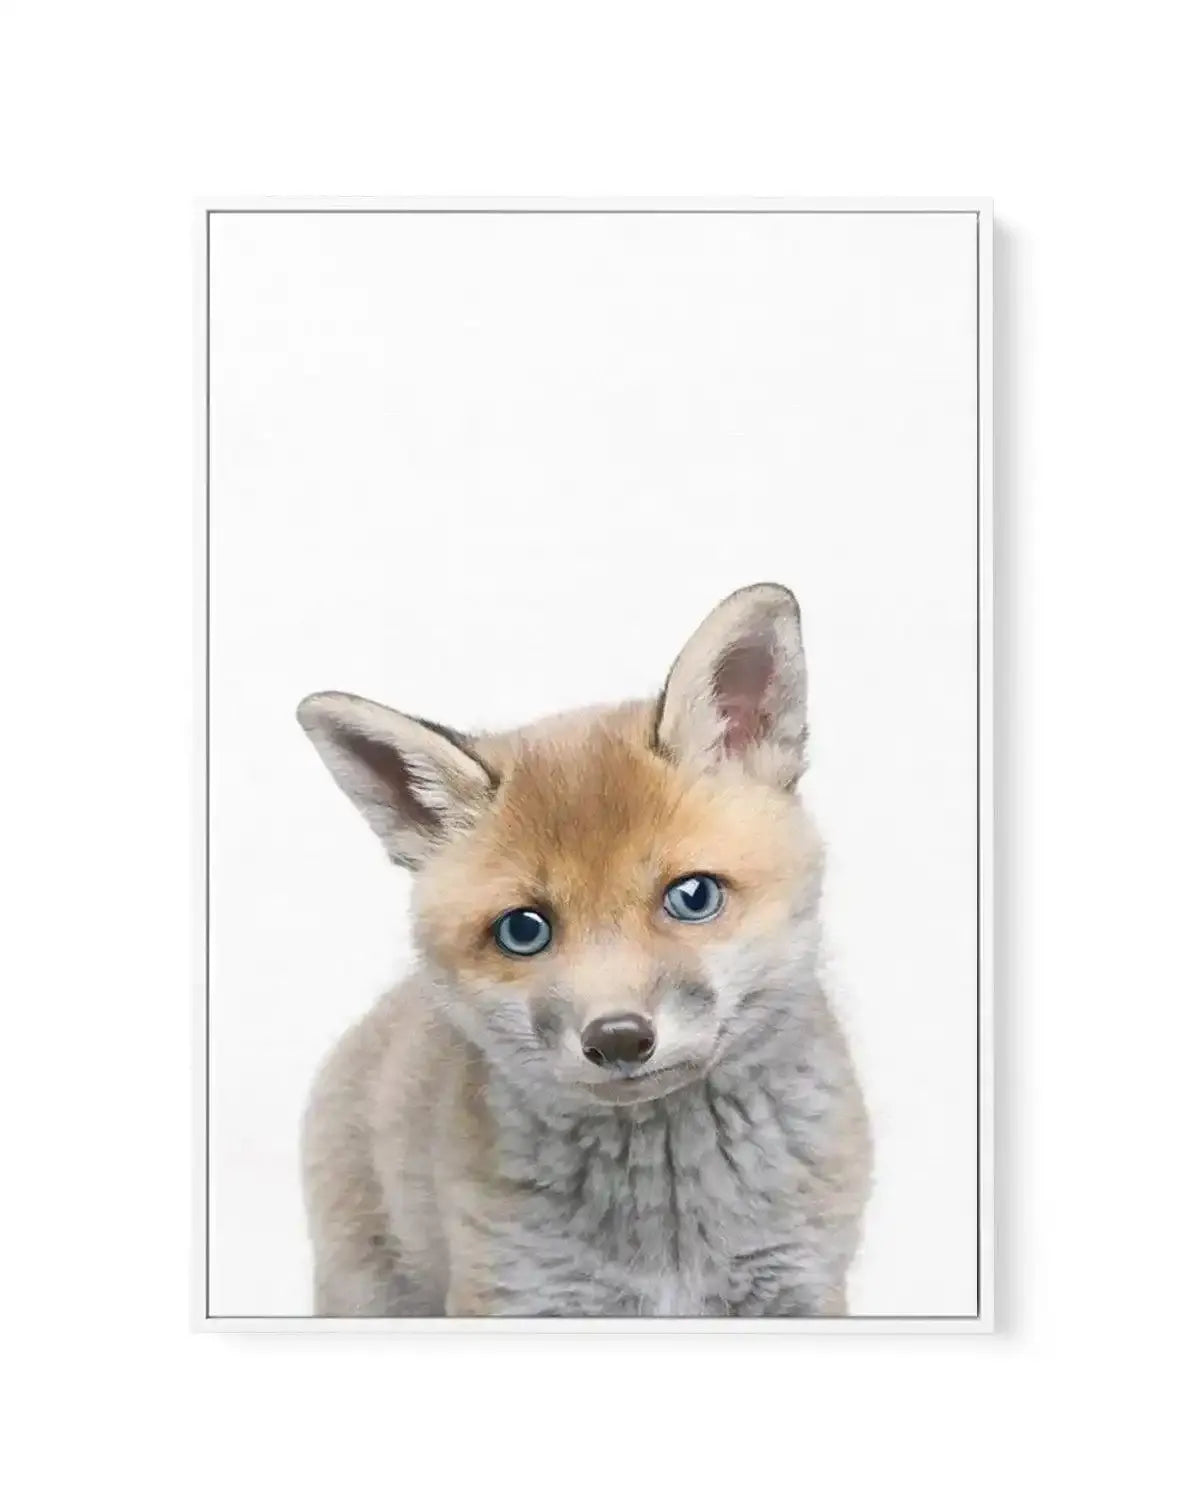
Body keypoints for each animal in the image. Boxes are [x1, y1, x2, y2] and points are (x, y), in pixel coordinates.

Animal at [297, 583, 871, 1317]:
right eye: (524, 930)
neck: (671, 1234)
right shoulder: (517, 1294)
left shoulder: (800, 1284)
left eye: (693, 896)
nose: (619, 1038)